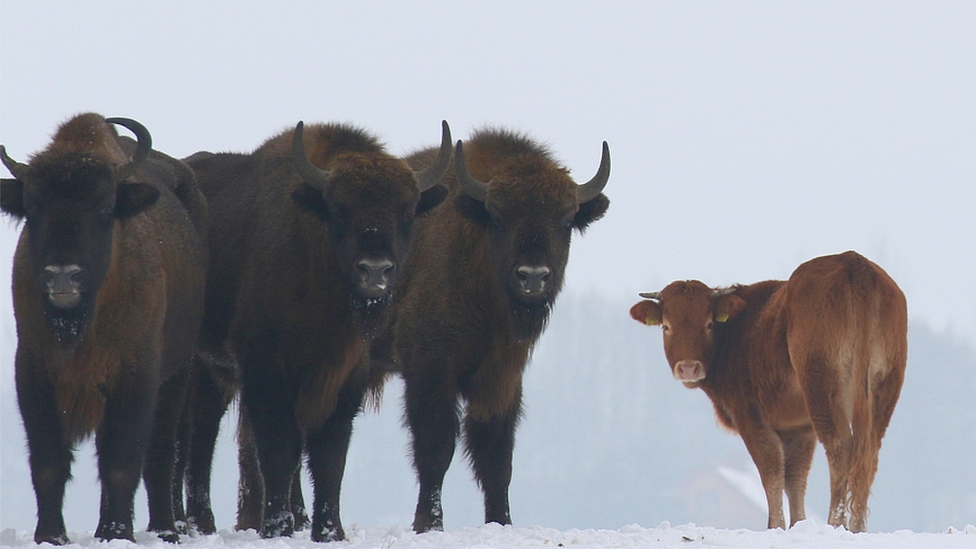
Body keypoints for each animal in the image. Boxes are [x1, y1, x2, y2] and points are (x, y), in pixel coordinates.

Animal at [0, 113, 208, 540]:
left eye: (105, 207)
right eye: (32, 207)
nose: (63, 275)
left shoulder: (136, 374)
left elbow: (122, 462)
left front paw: (119, 533)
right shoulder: (33, 370)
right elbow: (49, 462)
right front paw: (51, 535)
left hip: (178, 374)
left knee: (161, 453)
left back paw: (164, 529)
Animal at [179, 121, 454, 540]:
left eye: (406, 211)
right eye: (340, 209)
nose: (375, 270)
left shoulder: (346, 376)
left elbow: (329, 456)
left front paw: (330, 531)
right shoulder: (266, 369)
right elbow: (280, 448)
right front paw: (278, 527)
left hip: (214, 373)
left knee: (201, 434)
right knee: (190, 438)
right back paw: (190, 523)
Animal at [374, 127, 608, 532]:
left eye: (565, 221)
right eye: (499, 218)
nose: (533, 276)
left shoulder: (502, 377)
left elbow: (496, 458)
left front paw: (501, 522)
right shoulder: (429, 367)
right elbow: (436, 447)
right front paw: (429, 524)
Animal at [628, 252, 912, 532]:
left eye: (708, 324)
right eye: (666, 326)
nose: (688, 367)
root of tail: (854, 263)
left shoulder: (752, 418)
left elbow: (771, 471)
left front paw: (775, 526)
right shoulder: (799, 428)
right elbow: (795, 477)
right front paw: (798, 524)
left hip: (822, 385)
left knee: (840, 445)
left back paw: (836, 523)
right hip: (885, 385)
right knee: (870, 450)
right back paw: (858, 526)